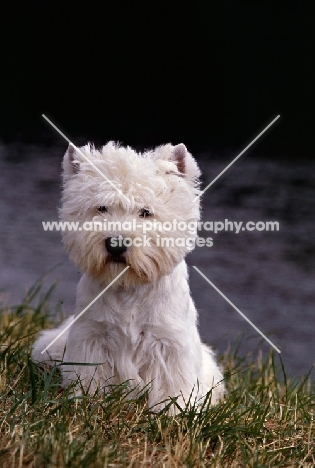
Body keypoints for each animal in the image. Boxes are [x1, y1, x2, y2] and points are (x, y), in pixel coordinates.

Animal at [31, 142, 225, 410]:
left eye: (145, 212)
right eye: (101, 208)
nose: (116, 244)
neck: (128, 285)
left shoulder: (167, 343)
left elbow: (172, 386)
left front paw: (173, 412)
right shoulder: (91, 336)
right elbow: (89, 377)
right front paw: (88, 403)